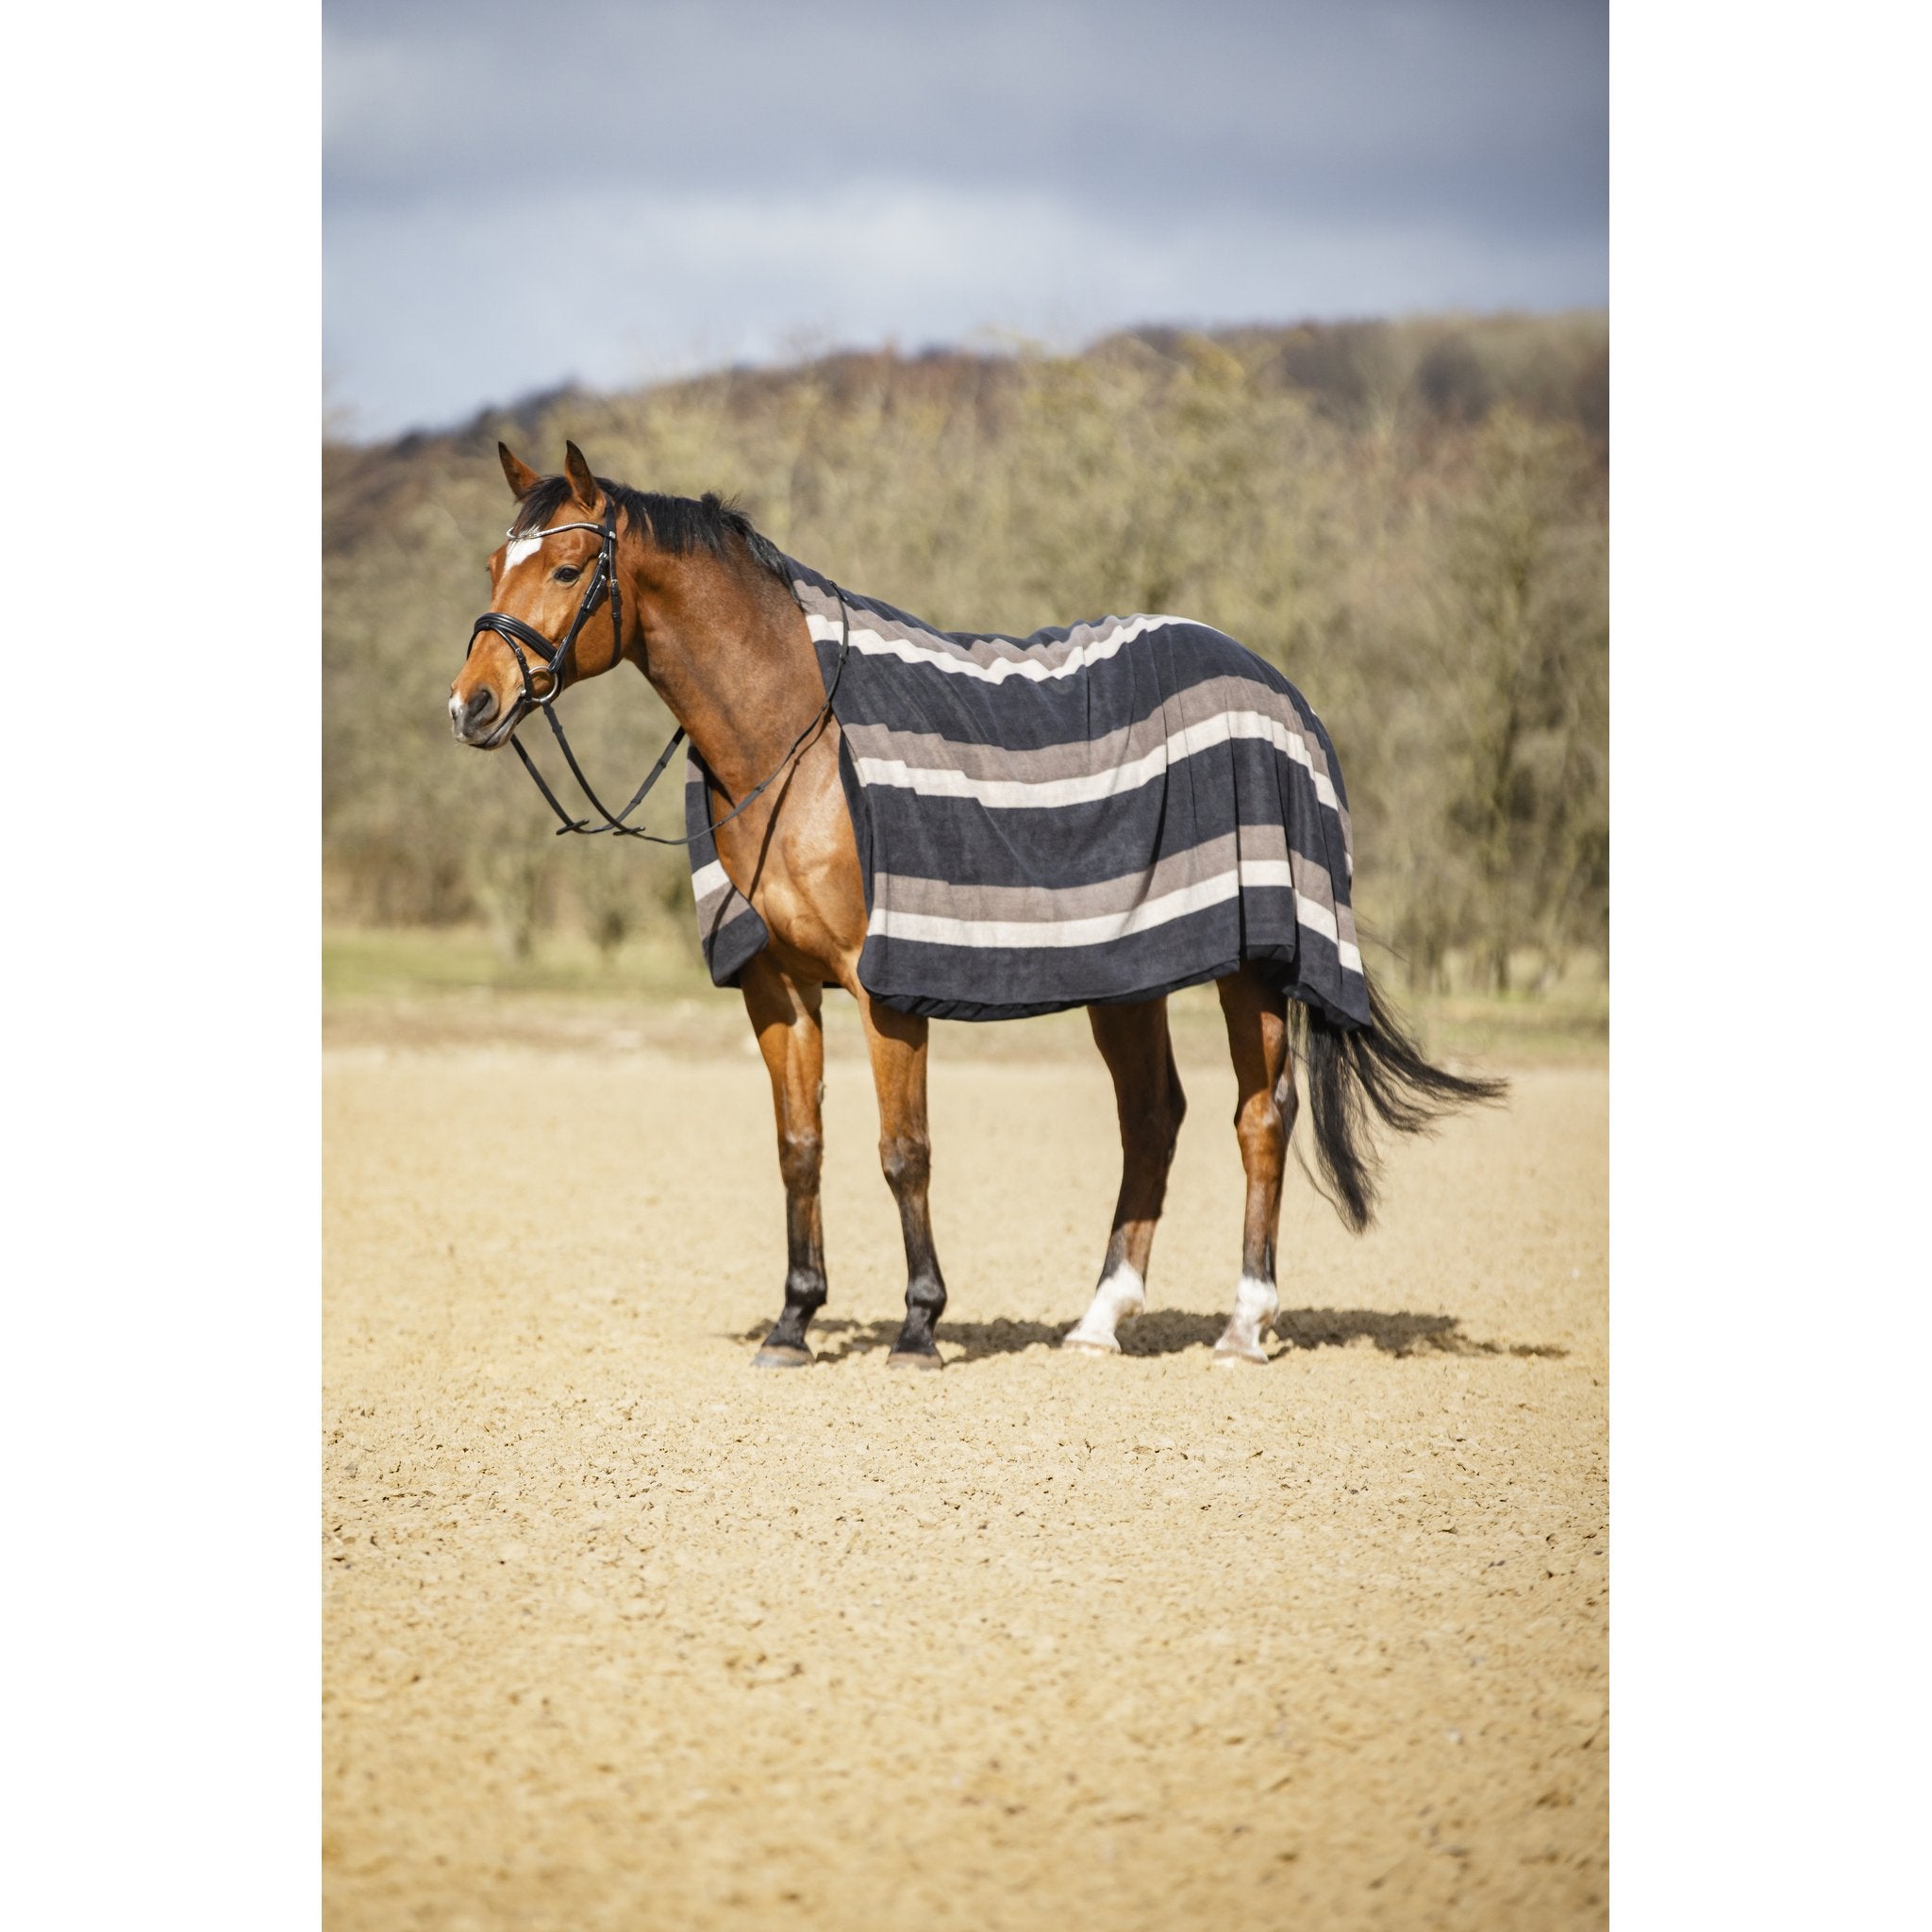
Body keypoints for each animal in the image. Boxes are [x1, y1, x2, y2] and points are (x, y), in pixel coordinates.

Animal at [449, 441, 1502, 1370]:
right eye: (496, 563)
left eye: (569, 566)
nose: (471, 704)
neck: (795, 742)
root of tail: (1280, 690)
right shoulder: (775, 988)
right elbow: (800, 1148)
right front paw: (792, 1323)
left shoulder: (884, 986)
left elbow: (902, 1151)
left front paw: (919, 1325)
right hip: (1129, 976)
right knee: (1151, 1116)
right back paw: (1098, 1321)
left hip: (1252, 965)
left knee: (1259, 1117)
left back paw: (1243, 1325)